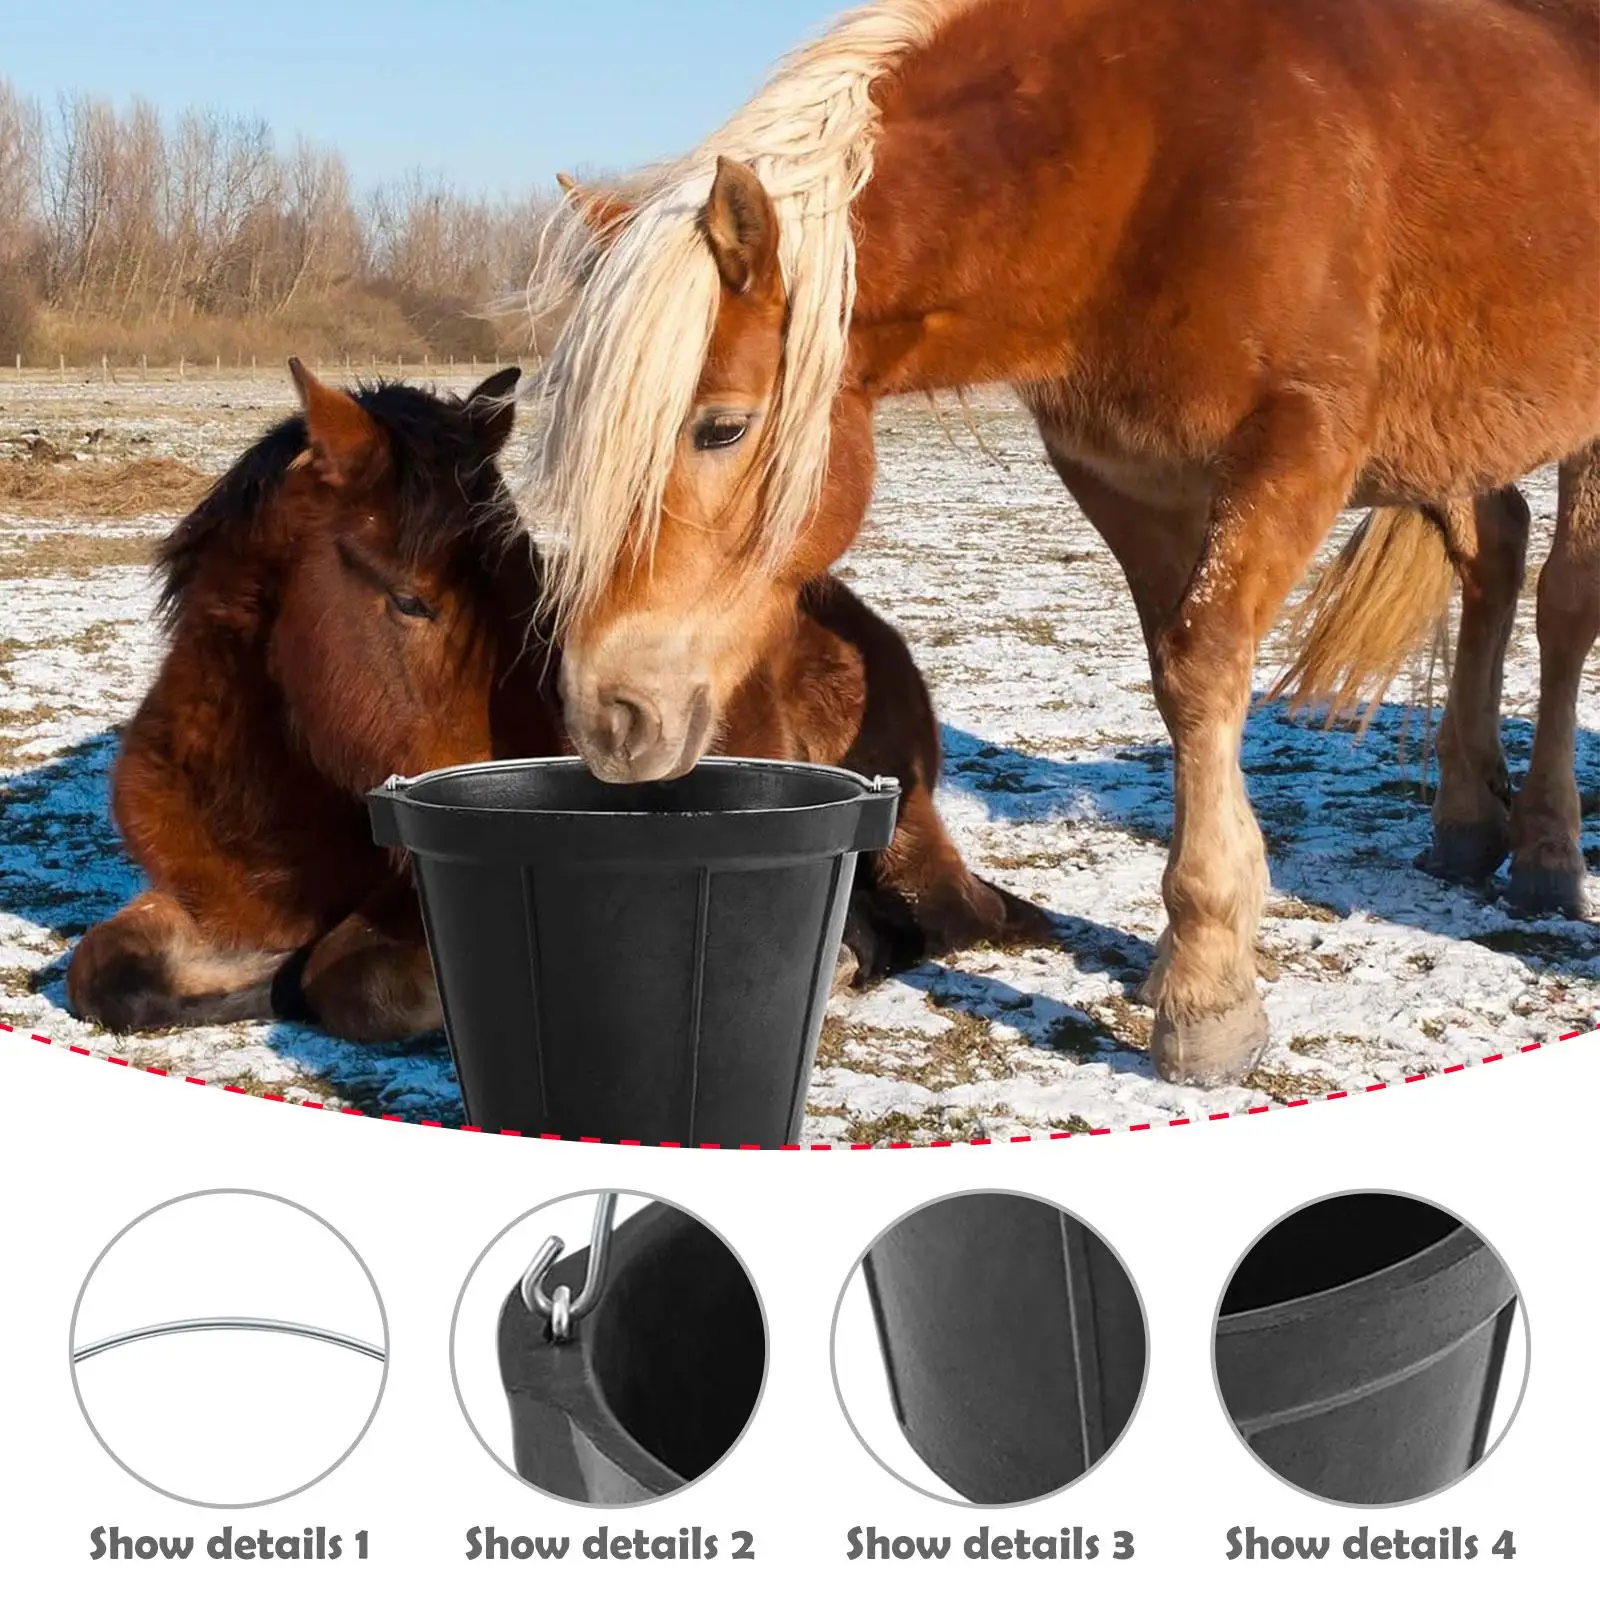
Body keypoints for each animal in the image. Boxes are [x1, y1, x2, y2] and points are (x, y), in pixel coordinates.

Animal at [65, 361, 1047, 1043]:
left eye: (529, 590)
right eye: (410, 601)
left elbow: (349, 981)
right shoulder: (204, 904)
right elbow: (103, 972)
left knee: (955, 914)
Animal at [522, 0, 1599, 1088]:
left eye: (721, 429)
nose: (607, 714)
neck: (1154, 153)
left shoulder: (1297, 450)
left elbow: (1205, 667)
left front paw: (1207, 992)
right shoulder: (1128, 482)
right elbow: (1178, 684)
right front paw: (1181, 957)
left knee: (1562, 606)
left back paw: (1547, 855)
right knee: (1494, 557)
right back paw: (1465, 824)